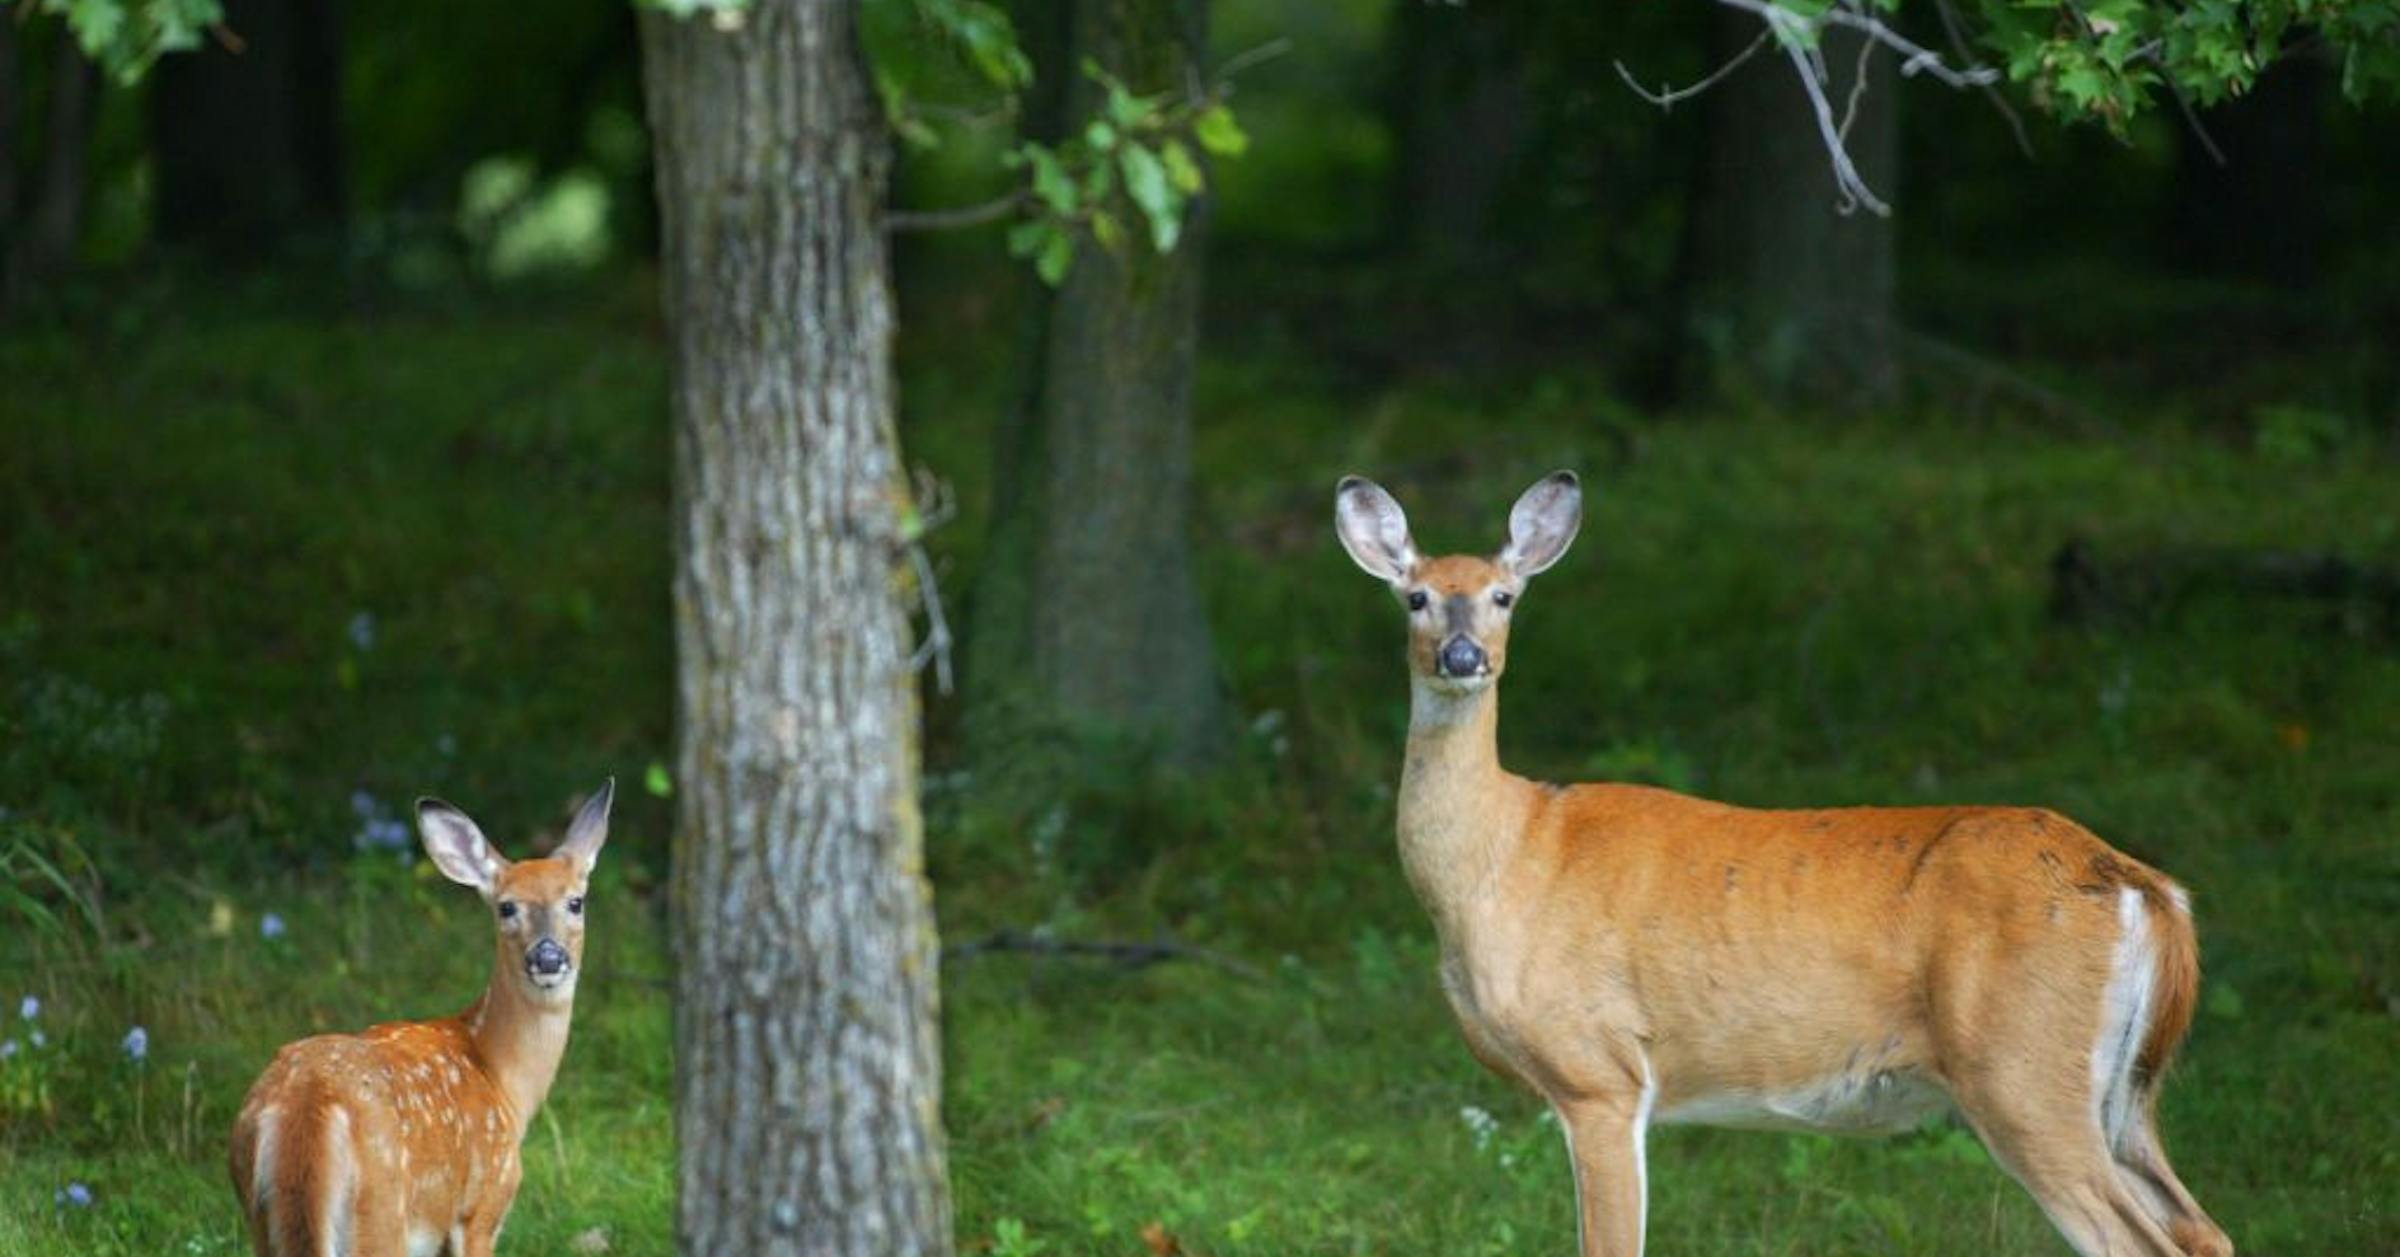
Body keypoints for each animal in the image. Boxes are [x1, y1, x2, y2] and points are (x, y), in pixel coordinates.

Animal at [229, 780, 613, 1257]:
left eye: (575, 902)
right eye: (506, 907)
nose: (547, 957)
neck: (502, 1078)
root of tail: (307, 1105)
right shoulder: (482, 1205)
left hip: (260, 1215)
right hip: (381, 1214)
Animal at [1334, 472, 2231, 1257]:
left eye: (1504, 595)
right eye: (1416, 596)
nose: (1462, 656)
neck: (1504, 856)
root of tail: (2149, 891)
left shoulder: (1600, 1071)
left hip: (2022, 1069)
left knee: (2142, 1240)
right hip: (2123, 1094)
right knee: (2203, 1230)